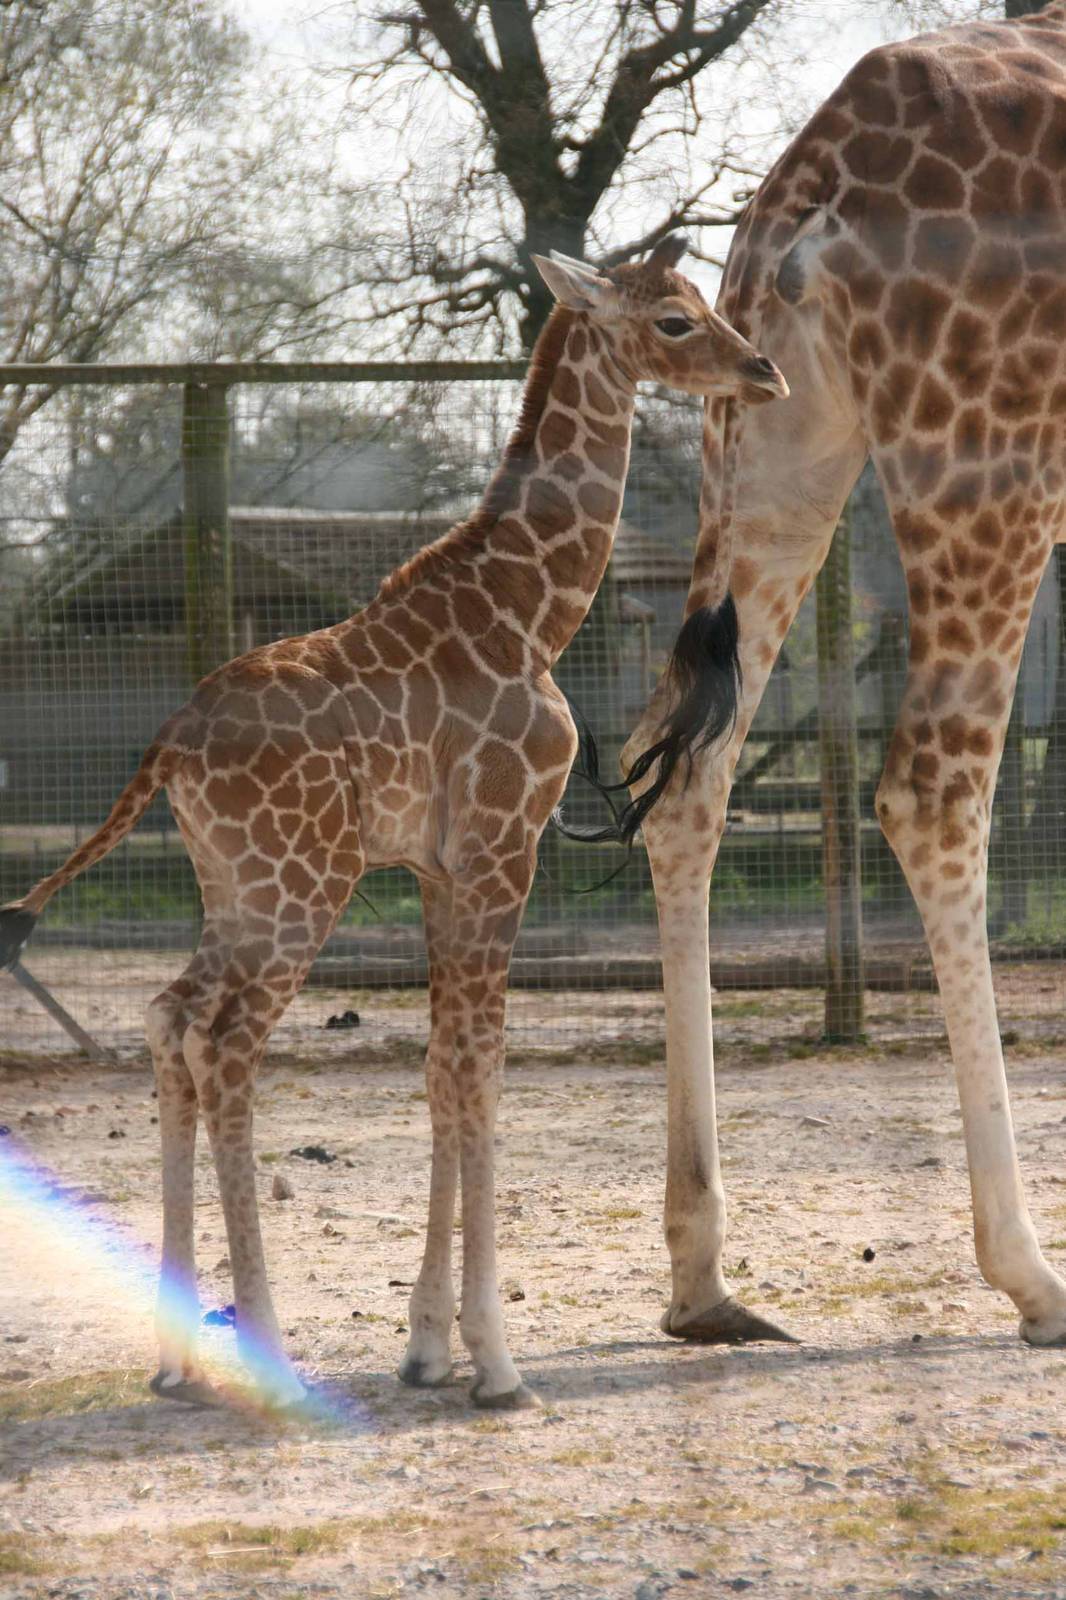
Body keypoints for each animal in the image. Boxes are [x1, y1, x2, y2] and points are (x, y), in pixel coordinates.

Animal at [0, 237, 786, 1409]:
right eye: (677, 321)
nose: (765, 371)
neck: (532, 615)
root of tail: (170, 745)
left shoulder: (437, 867)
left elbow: (440, 1067)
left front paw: (426, 1349)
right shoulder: (506, 847)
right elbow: (484, 1072)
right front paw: (495, 1361)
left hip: (237, 887)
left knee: (169, 1015)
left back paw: (177, 1359)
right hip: (301, 885)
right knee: (225, 1041)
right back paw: (269, 1347)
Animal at [612, 3, 1066, 1351]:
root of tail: (807, 188)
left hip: (768, 441)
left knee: (686, 778)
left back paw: (701, 1272)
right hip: (983, 457)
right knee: (930, 787)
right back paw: (1030, 1272)